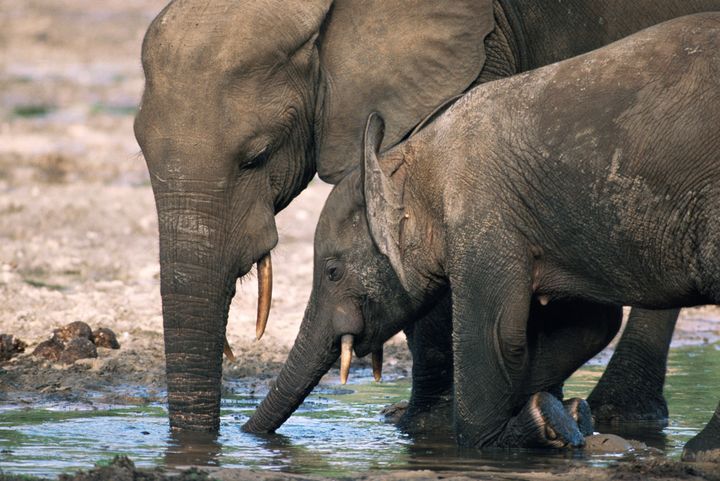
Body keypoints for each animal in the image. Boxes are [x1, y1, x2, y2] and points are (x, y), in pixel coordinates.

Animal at [135, 0, 720, 428]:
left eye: (256, 156)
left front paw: (425, 429)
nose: (220, 443)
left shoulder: (478, 56)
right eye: (138, 145)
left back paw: (620, 416)